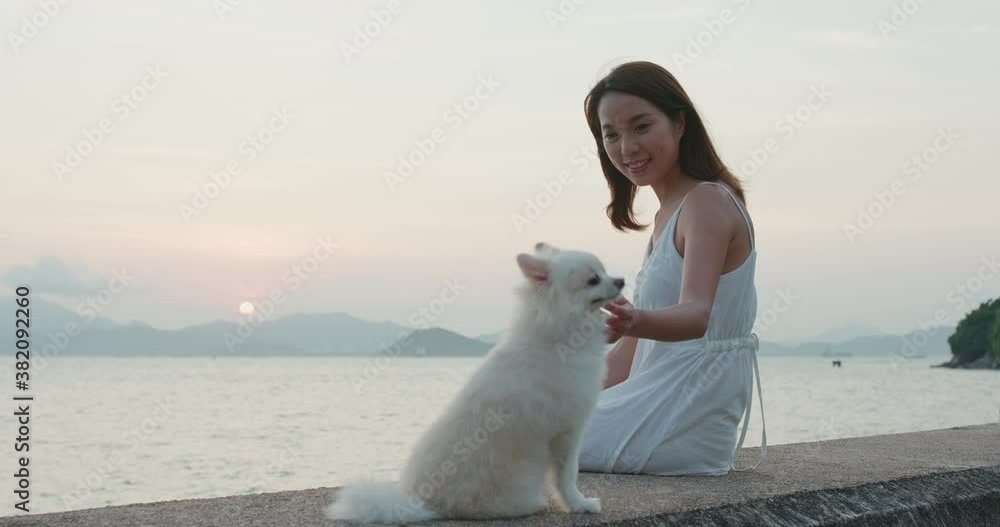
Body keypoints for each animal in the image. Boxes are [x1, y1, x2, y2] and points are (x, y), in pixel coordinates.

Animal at [326, 243, 624, 524]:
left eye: (605, 271)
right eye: (593, 279)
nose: (621, 280)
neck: (560, 333)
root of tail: (419, 503)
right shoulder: (568, 432)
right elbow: (567, 476)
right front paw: (580, 504)